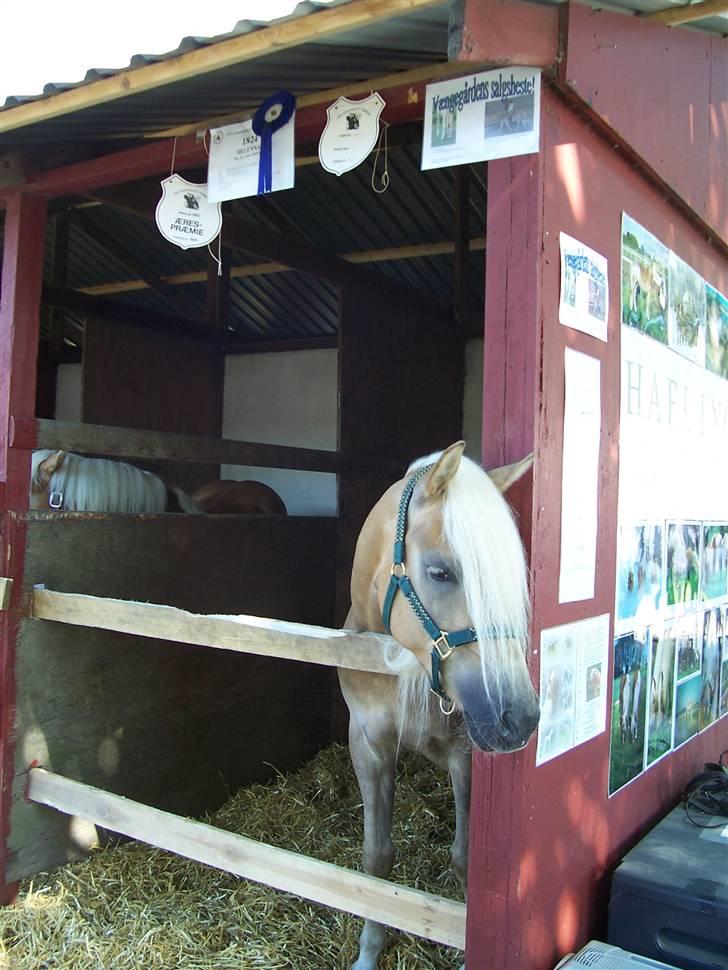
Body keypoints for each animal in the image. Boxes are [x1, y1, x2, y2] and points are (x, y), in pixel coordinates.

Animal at [338, 442, 536, 964]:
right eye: (440, 572)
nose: (522, 718)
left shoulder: (464, 756)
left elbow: (467, 859)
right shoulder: (369, 747)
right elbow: (377, 858)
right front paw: (369, 951)